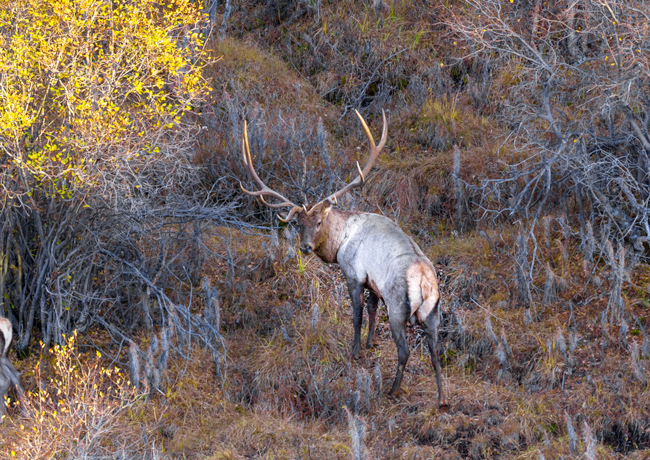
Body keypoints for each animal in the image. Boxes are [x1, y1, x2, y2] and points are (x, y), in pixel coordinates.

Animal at [239, 110, 447, 407]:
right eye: (297, 224)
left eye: (318, 222)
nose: (305, 247)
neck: (340, 244)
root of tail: (424, 282)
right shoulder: (373, 282)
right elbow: (372, 310)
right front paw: (371, 343)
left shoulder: (354, 274)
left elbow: (357, 315)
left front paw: (356, 350)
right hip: (434, 312)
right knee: (435, 352)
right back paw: (441, 399)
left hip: (398, 307)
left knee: (405, 351)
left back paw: (393, 390)